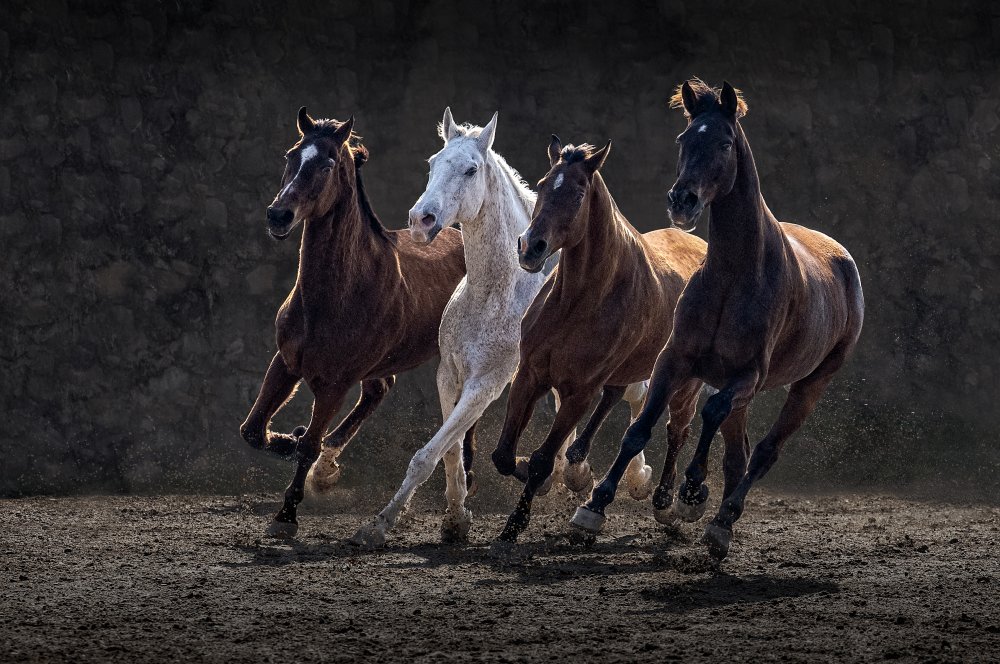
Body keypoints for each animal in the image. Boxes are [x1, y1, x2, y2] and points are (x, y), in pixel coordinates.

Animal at [239, 108, 466, 539]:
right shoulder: (286, 363)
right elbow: (254, 431)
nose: (278, 215)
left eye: (327, 164)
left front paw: (286, 517)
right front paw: (290, 442)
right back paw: (327, 467)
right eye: (290, 155)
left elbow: (308, 446)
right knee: (379, 389)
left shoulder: (335, 382)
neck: (330, 299)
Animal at [350, 109, 567, 548]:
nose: (421, 220)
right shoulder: (449, 375)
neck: (495, 292)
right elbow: (448, 448)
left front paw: (377, 526)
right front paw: (455, 519)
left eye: (471, 169)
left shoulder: (487, 383)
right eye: (433, 164)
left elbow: (426, 455)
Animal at [490, 137, 710, 545]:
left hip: (684, 384)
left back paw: (667, 503)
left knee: (677, 430)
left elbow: (543, 460)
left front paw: (515, 524)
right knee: (613, 396)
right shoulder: (530, 374)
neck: (577, 302)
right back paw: (579, 463)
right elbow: (504, 455)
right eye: (543, 184)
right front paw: (542, 474)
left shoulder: (578, 392)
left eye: (578, 194)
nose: (530, 247)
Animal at [571, 79, 864, 559]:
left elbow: (709, 412)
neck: (733, 275)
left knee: (762, 453)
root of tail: (843, 260)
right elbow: (639, 430)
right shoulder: (675, 359)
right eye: (684, 139)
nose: (682, 200)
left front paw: (692, 491)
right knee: (737, 454)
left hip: (810, 385)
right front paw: (593, 509)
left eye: (725, 142)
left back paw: (722, 522)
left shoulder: (747, 375)